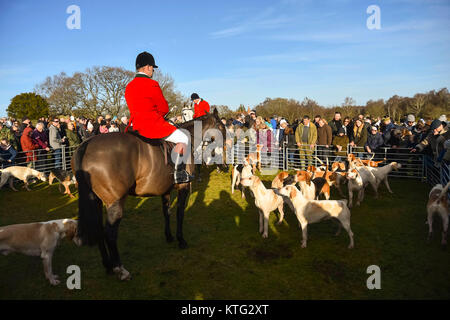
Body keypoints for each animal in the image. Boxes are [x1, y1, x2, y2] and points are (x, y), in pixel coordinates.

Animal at [74, 110, 229, 280]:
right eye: (222, 126)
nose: (227, 144)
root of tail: (86, 145)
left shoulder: (165, 190)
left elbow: (166, 212)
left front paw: (169, 237)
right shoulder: (183, 188)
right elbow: (180, 213)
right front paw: (181, 240)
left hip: (96, 201)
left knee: (99, 230)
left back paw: (108, 266)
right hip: (115, 202)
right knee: (110, 234)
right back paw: (120, 269)